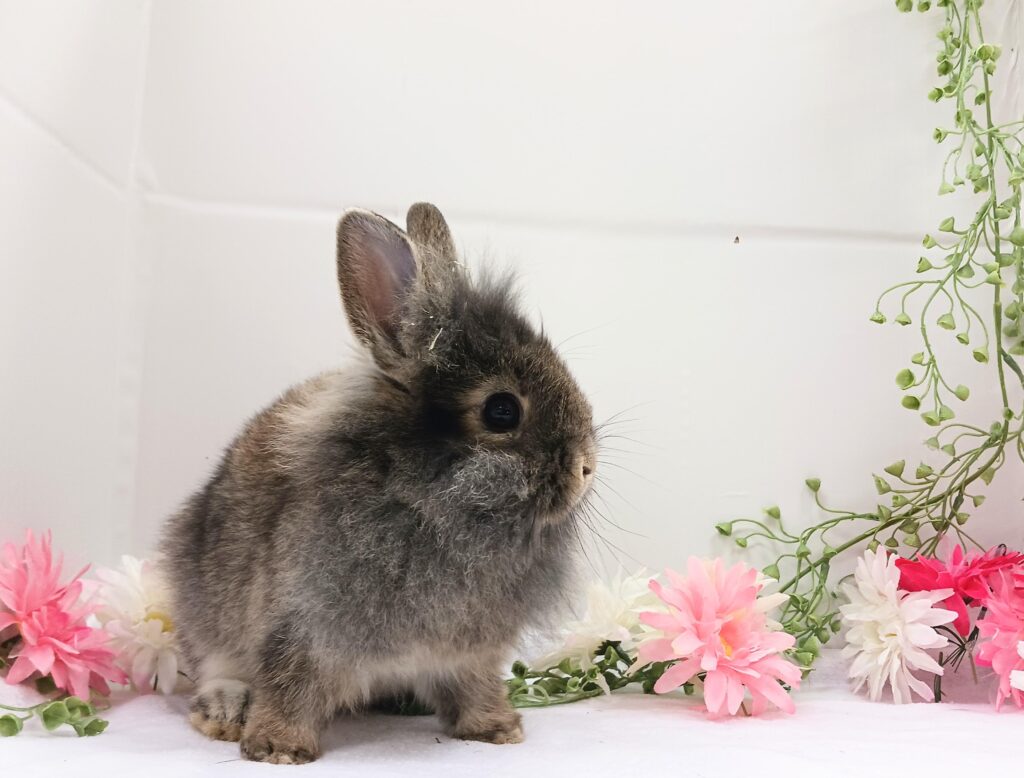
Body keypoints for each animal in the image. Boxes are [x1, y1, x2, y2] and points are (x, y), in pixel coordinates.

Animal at [159, 203, 597, 764]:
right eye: (501, 411)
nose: (586, 467)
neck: (427, 501)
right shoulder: (301, 628)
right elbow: (288, 686)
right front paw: (278, 748)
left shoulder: (471, 655)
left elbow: (475, 688)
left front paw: (497, 731)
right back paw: (227, 710)